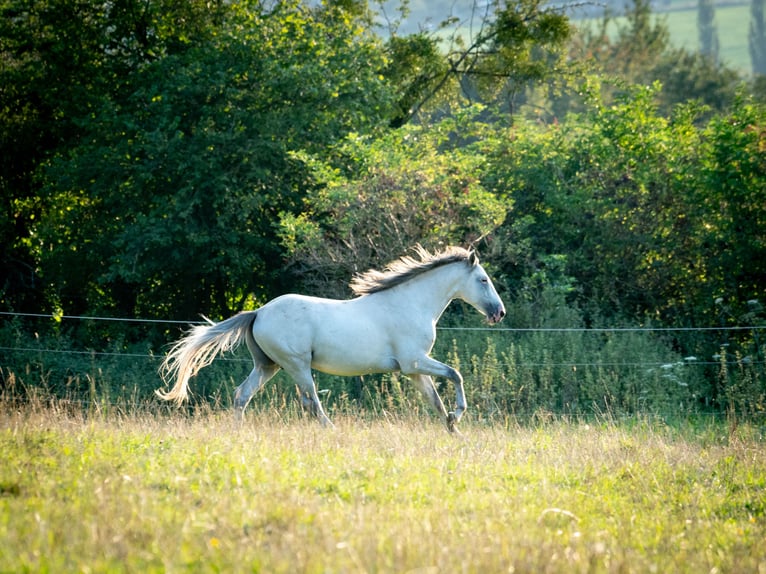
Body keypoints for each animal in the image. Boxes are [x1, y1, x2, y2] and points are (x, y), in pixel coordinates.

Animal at [157, 246, 508, 432]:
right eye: (483, 280)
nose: (499, 313)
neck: (410, 303)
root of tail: (258, 312)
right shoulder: (414, 362)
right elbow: (455, 374)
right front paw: (457, 416)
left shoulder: (413, 370)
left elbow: (435, 400)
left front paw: (453, 429)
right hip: (297, 365)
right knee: (312, 401)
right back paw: (331, 429)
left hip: (268, 365)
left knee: (242, 395)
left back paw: (238, 433)